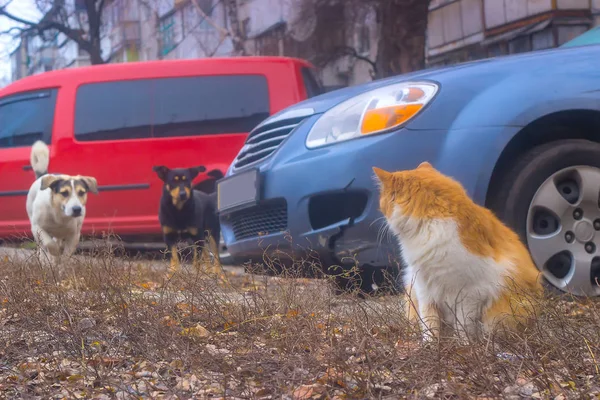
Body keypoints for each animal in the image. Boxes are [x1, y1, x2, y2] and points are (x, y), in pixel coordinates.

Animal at [372, 162, 540, 340]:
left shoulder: (470, 294)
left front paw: (463, 346)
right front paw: (430, 345)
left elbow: (462, 326)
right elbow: (429, 325)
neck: (432, 227)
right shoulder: (424, 289)